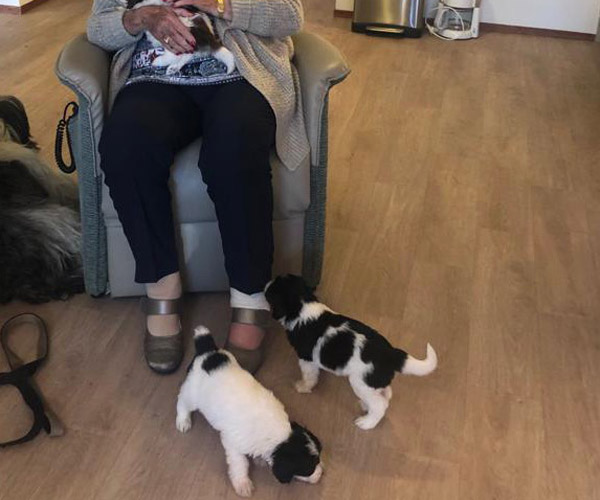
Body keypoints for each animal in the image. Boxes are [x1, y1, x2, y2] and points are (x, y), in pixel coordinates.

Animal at [176, 326, 323, 497]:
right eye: (309, 469)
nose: (321, 474)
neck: (280, 433)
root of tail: (208, 351)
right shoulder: (233, 445)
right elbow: (240, 464)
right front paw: (243, 483)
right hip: (192, 394)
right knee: (182, 402)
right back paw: (183, 421)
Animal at [265, 275, 438, 430]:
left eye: (272, 291)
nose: (266, 284)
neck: (303, 305)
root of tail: (391, 354)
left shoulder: (306, 359)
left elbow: (309, 376)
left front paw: (302, 387)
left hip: (360, 382)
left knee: (380, 405)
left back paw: (367, 422)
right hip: (373, 381)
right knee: (386, 393)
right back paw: (367, 405)